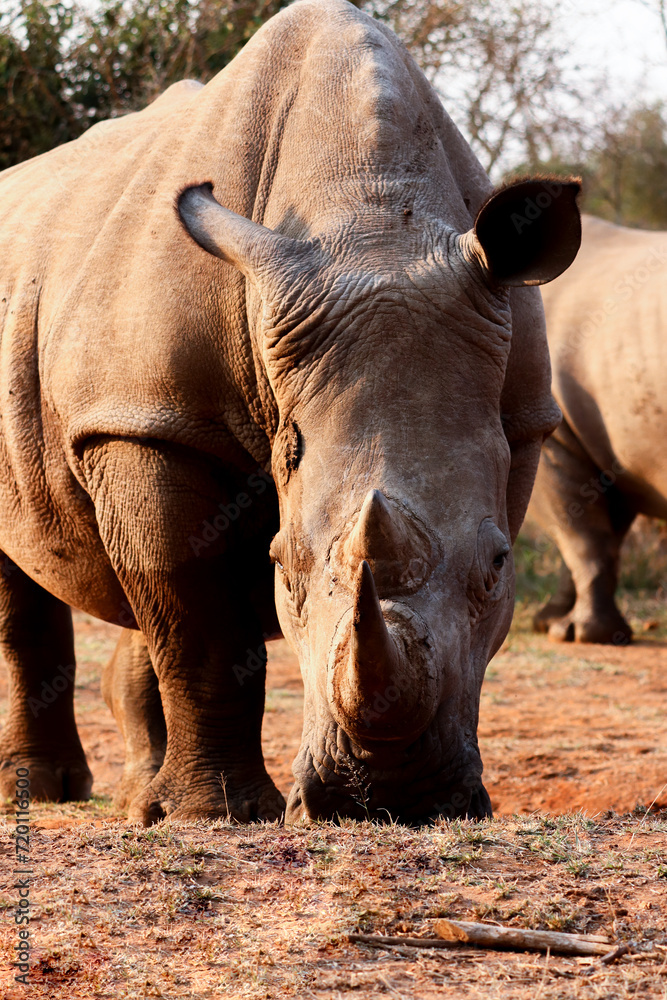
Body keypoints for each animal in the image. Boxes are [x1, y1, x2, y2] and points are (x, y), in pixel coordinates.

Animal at [0, 0, 581, 823]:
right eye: (282, 564)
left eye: (500, 565)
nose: (385, 798)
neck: (372, 219)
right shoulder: (153, 417)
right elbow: (197, 617)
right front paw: (219, 814)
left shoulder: (523, 416)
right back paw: (45, 792)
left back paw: (137, 798)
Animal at [532, 214, 667, 644]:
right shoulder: (611, 448)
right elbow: (592, 534)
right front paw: (550, 623)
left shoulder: (555, 434)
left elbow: (584, 537)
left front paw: (581, 634)